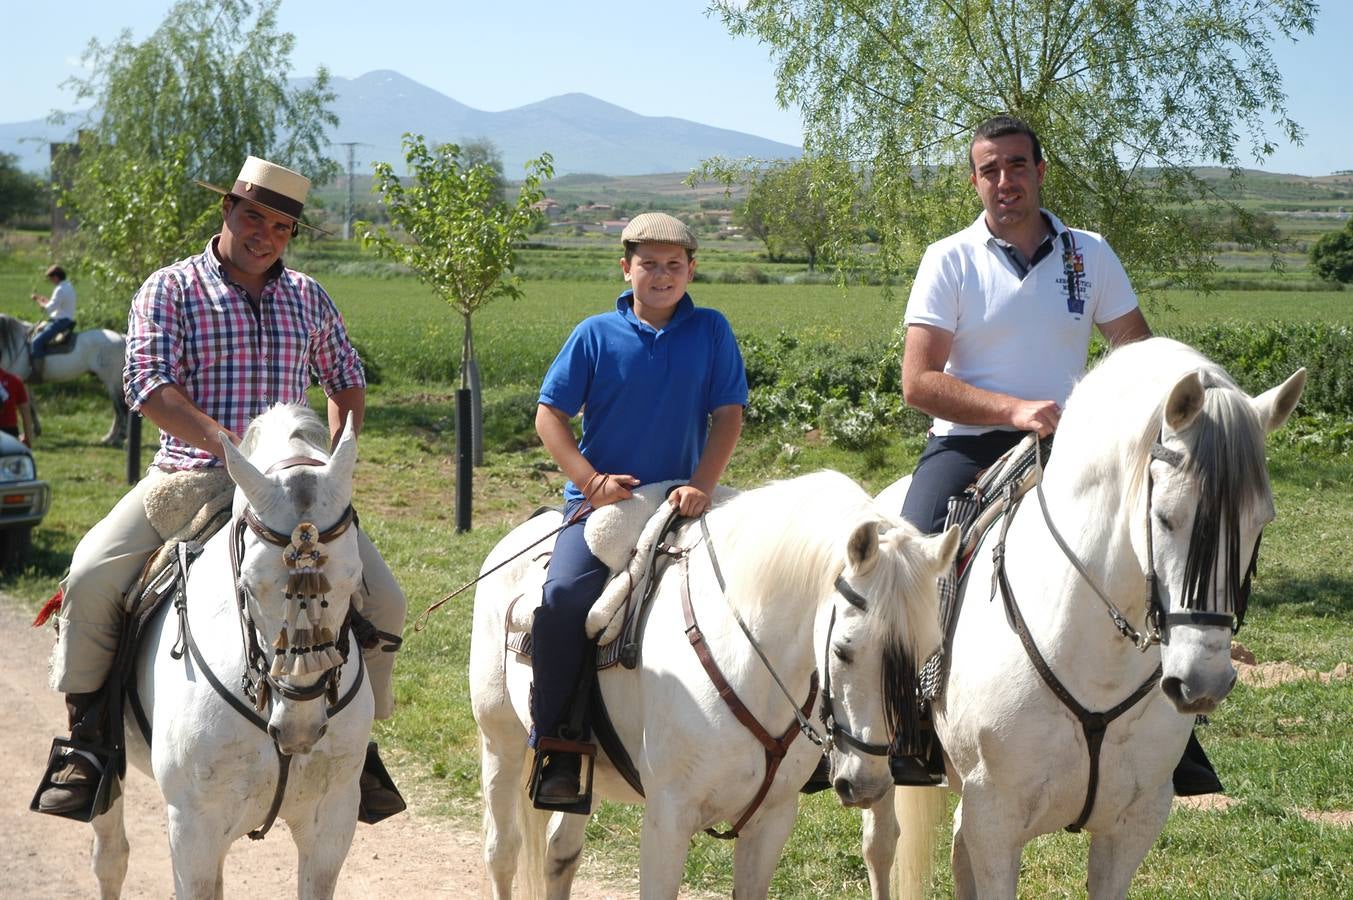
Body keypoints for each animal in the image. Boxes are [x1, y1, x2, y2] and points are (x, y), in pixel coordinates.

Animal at [0, 312, 127, 446]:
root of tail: (122, 337)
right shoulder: (26, 383)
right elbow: (32, 407)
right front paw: (35, 431)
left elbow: (28, 407)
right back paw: (111, 437)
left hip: (111, 382)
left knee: (120, 409)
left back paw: (115, 438)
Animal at [87, 403, 376, 893]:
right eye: (247, 586)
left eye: (354, 581)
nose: (299, 728)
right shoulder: (194, 833)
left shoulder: (331, 825)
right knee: (111, 857)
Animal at [470, 473, 957, 893]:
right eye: (843, 650)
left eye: (927, 654)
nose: (870, 785)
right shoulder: (667, 819)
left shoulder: (772, 820)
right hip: (500, 741)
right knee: (502, 852)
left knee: (560, 852)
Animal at [860, 338, 1304, 898]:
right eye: (1166, 518)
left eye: (1260, 521)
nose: (1203, 683)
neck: (1096, 660)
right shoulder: (995, 819)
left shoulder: (1133, 823)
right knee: (881, 845)